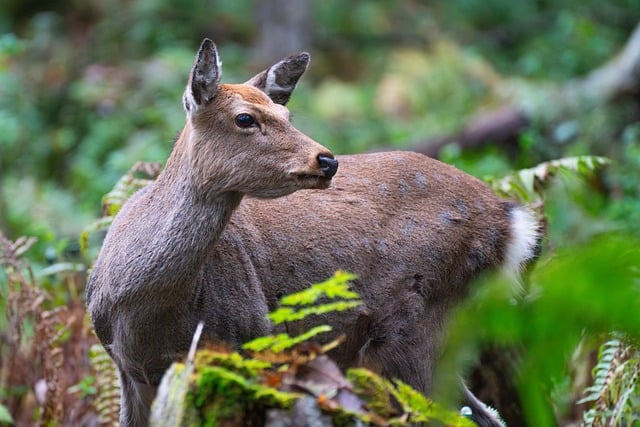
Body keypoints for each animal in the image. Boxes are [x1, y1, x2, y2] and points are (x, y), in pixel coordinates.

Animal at [86, 39, 541, 427]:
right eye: (245, 118)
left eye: (287, 115)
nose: (326, 160)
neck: (140, 307)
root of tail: (510, 220)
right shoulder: (130, 371)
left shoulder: (254, 339)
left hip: (416, 321)